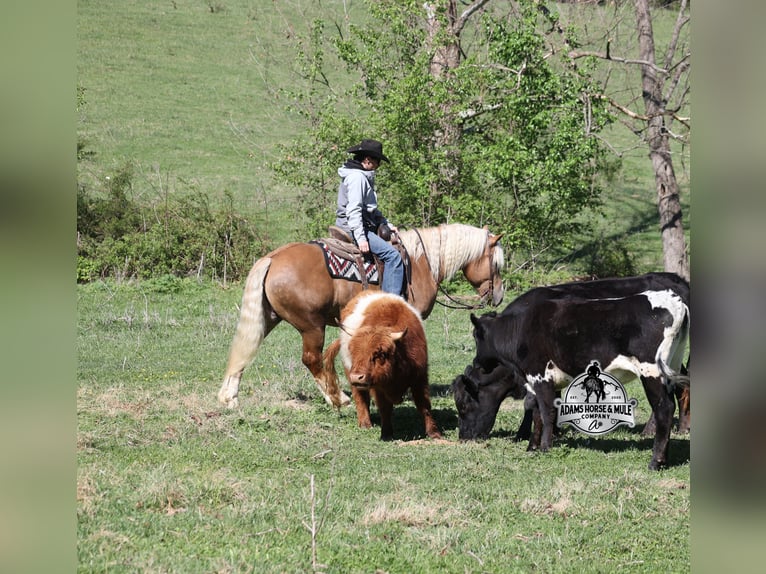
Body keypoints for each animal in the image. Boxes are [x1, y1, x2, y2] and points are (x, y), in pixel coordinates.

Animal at [218, 223, 505, 408]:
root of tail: (273, 258)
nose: (500, 295)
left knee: (247, 347)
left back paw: (229, 397)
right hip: (312, 326)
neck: (421, 263)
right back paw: (339, 399)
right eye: (497, 264)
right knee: (312, 360)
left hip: (269, 317)